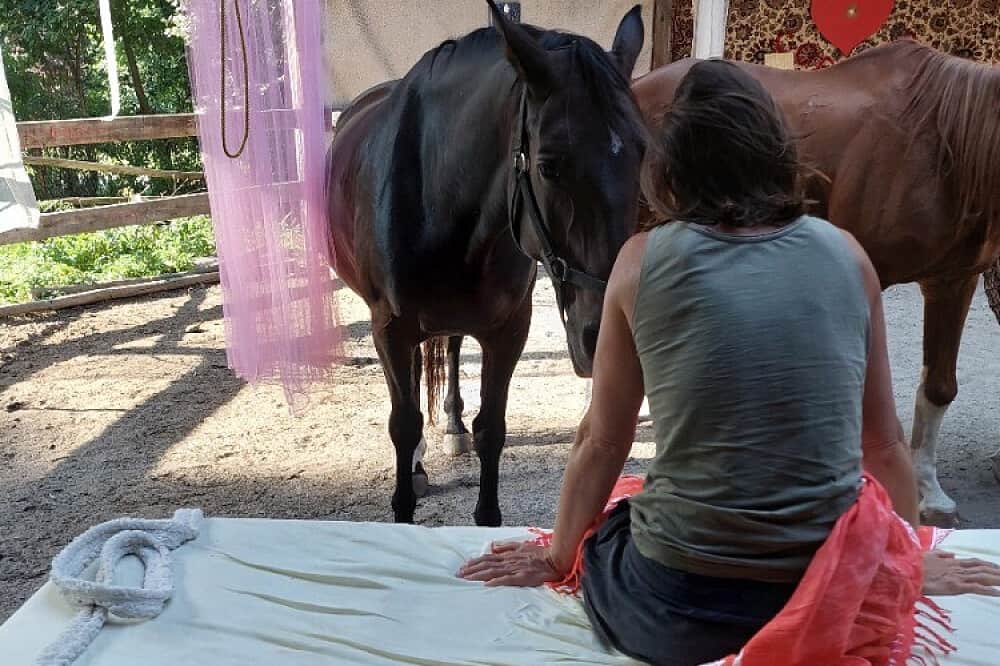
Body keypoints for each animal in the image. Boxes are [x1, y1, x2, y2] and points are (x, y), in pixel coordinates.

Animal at [326, 2, 647, 525]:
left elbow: (491, 428)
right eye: (549, 166)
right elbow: (404, 424)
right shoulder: (390, 328)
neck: (436, 196)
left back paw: (452, 425)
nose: (601, 338)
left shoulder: (508, 329)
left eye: (642, 152)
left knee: (453, 347)